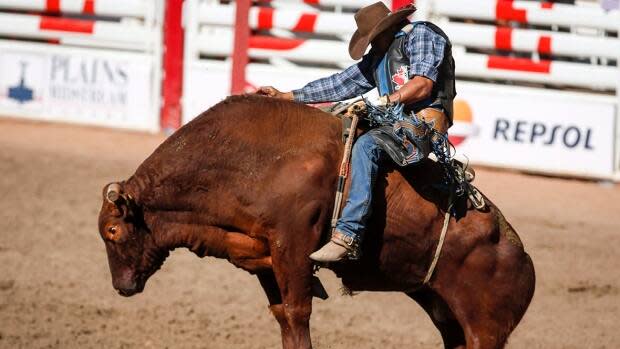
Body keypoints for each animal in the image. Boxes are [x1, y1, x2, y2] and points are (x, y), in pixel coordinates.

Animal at [99, 95, 536, 348]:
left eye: (112, 231)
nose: (121, 287)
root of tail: (520, 256)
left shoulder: (293, 245)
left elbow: (297, 313)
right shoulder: (266, 256)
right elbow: (283, 315)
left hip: (486, 332)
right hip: (446, 315)